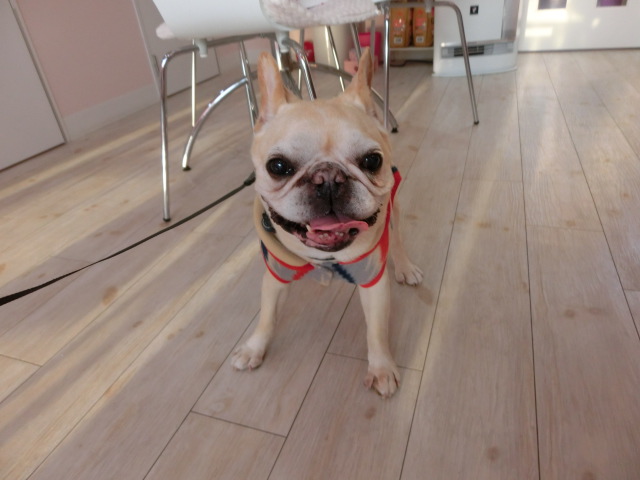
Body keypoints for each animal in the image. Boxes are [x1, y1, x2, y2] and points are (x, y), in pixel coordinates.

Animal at [231, 48, 423, 398]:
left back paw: (405, 267)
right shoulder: (275, 274)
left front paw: (381, 368)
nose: (329, 178)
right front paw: (254, 348)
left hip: (395, 208)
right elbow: (267, 315)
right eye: (277, 166)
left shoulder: (372, 281)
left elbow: (376, 329)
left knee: (398, 239)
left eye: (372, 160)